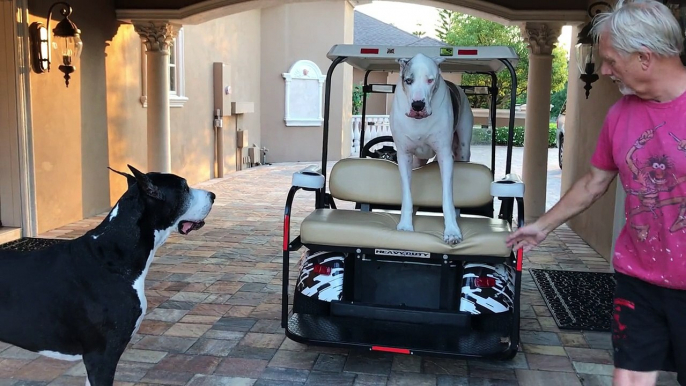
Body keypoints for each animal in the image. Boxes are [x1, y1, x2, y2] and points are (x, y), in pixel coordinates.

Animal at [390, 52, 476, 244]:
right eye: (408, 81)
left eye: (430, 80)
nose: (418, 105)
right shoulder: (404, 156)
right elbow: (407, 194)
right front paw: (405, 225)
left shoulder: (445, 156)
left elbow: (447, 197)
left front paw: (452, 231)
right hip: (417, 161)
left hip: (463, 150)